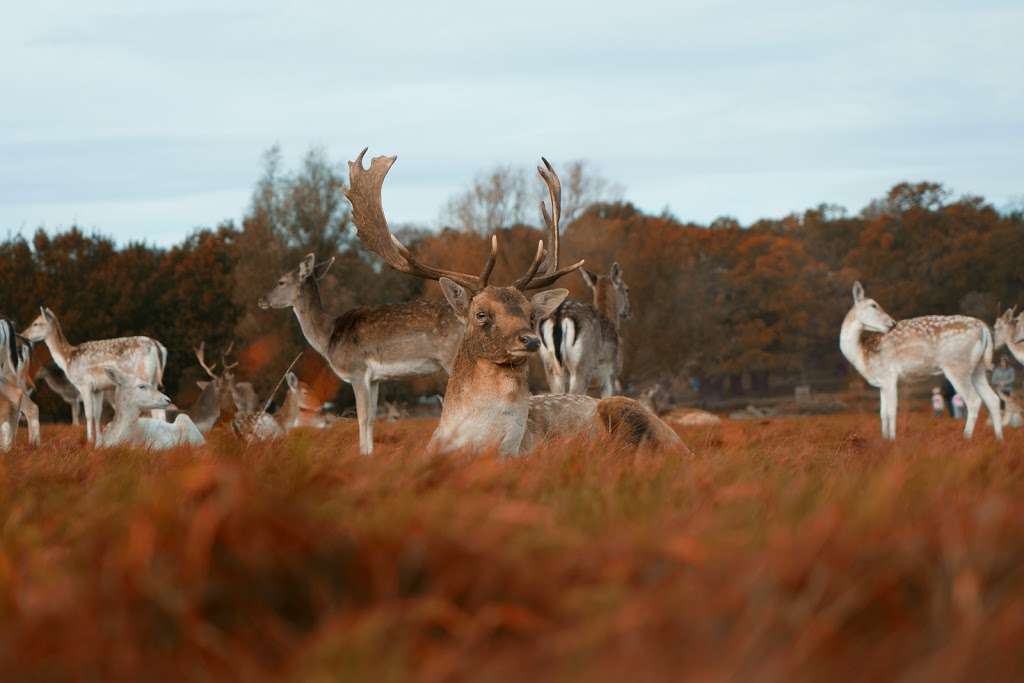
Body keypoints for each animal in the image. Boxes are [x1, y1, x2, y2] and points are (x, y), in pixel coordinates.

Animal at [20, 307, 168, 446]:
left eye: (36, 323)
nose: (22, 335)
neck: (67, 359)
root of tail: (158, 346)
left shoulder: (84, 384)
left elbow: (88, 414)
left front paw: (90, 440)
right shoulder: (98, 389)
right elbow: (97, 414)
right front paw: (98, 441)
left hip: (144, 378)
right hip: (154, 381)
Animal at [536, 264, 630, 401]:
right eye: (627, 290)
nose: (628, 311)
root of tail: (560, 315)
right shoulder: (611, 373)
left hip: (549, 364)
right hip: (582, 363)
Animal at [839, 280, 999, 440]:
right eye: (873, 305)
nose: (893, 323)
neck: (862, 354)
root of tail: (983, 327)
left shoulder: (889, 375)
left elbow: (891, 411)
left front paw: (892, 440)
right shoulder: (882, 383)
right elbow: (882, 414)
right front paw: (884, 439)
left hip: (957, 365)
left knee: (974, 400)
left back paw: (966, 437)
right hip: (978, 368)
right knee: (993, 399)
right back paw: (999, 439)